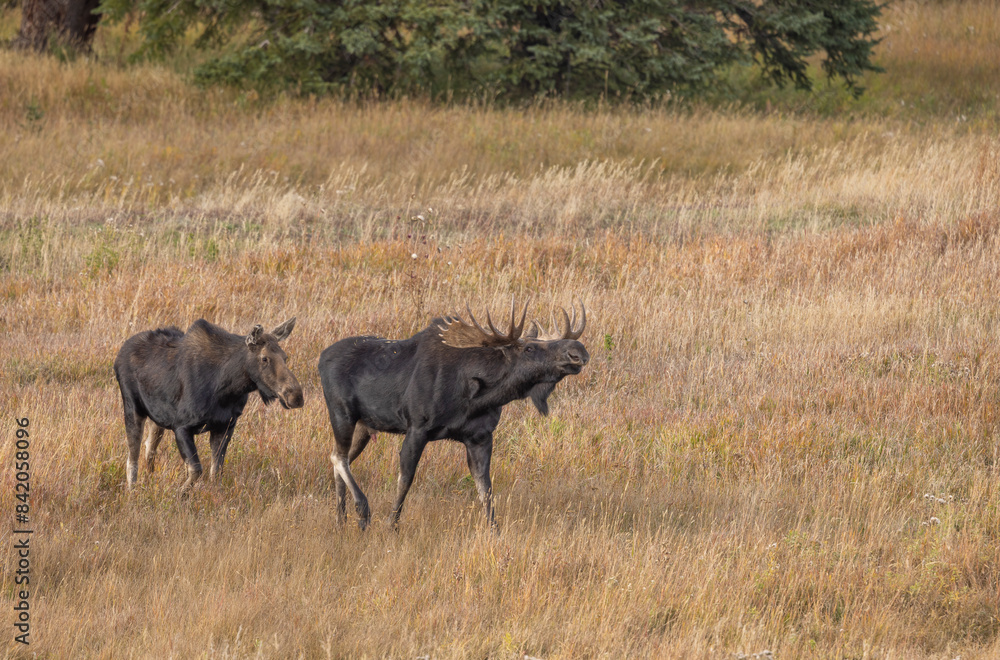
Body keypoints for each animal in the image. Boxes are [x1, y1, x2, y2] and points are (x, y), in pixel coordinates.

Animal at [113, 318, 304, 494]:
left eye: (285, 357)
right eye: (264, 358)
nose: (296, 396)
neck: (227, 387)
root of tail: (118, 357)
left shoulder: (225, 426)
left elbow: (216, 471)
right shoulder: (181, 427)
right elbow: (196, 470)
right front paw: (180, 495)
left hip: (158, 418)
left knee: (149, 448)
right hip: (132, 408)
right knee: (132, 457)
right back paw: (132, 491)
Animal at [318, 300, 589, 530]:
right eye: (529, 348)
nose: (578, 350)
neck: (474, 397)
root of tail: (320, 358)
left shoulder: (480, 437)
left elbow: (485, 489)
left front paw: (494, 531)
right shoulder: (417, 428)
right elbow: (405, 479)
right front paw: (391, 526)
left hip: (365, 425)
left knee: (342, 458)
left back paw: (340, 520)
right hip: (342, 413)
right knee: (338, 457)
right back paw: (362, 512)